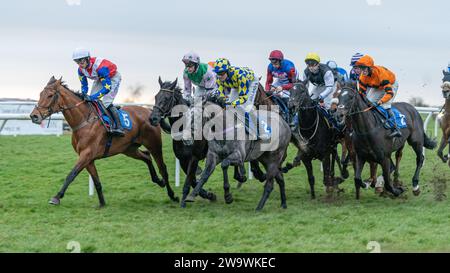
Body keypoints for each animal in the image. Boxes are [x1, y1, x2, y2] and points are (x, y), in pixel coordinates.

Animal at [29, 75, 178, 205]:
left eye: (50, 95)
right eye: (40, 94)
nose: (34, 116)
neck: (84, 120)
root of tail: (151, 113)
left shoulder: (86, 154)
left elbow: (71, 174)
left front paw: (56, 197)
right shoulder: (88, 158)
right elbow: (97, 181)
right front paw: (102, 203)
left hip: (154, 144)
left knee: (163, 168)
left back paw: (173, 195)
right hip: (129, 148)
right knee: (146, 157)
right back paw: (158, 181)